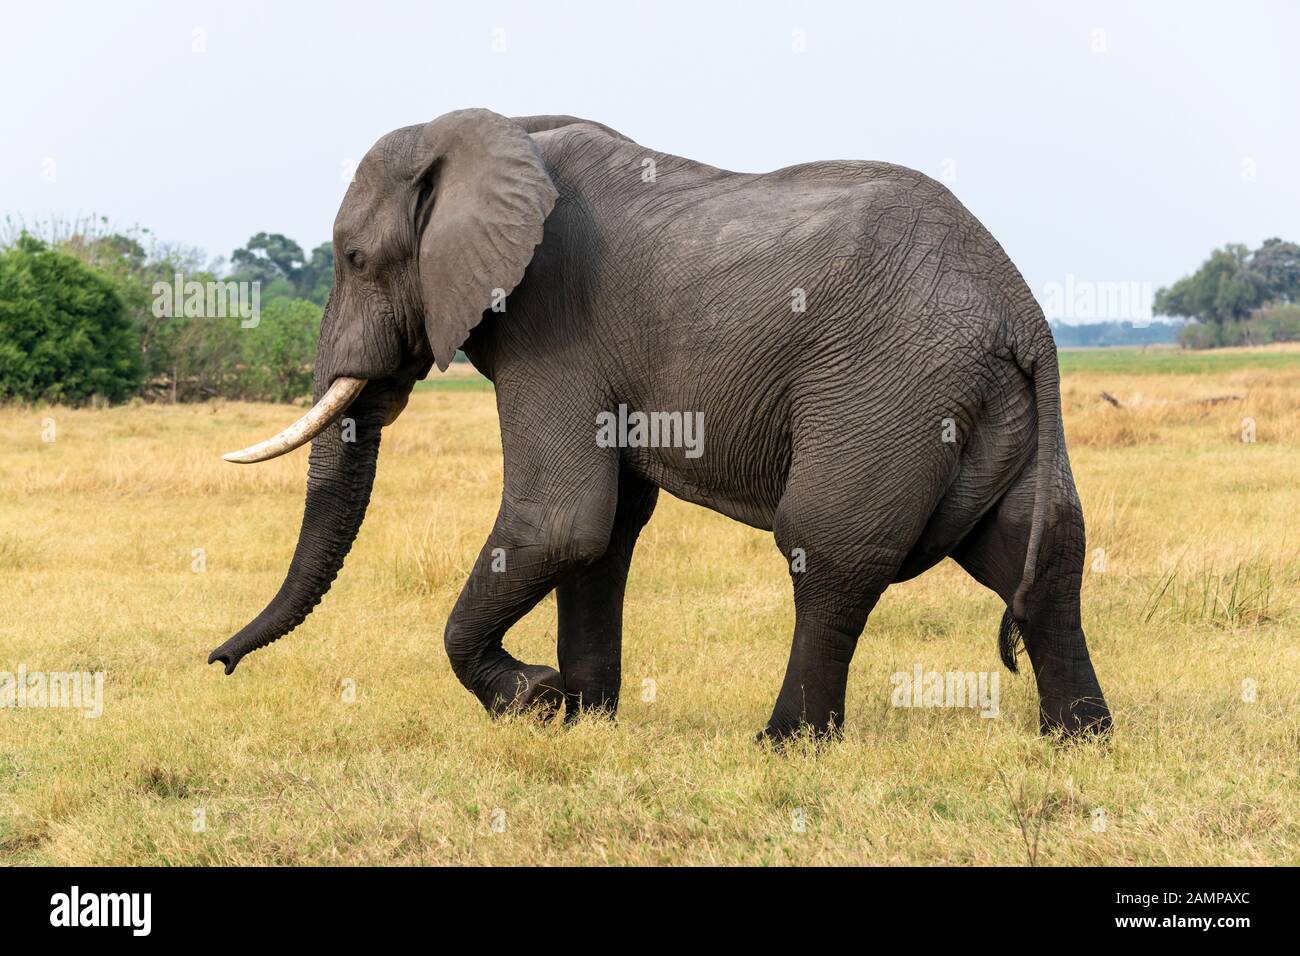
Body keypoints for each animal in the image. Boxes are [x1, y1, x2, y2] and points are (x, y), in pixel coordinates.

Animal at [208, 110, 1112, 738]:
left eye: (356, 260)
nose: (217, 663)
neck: (496, 128)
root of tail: (1021, 310)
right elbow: (603, 534)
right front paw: (581, 717)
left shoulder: (552, 324)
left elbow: (561, 520)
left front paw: (532, 699)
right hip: (991, 405)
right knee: (1032, 548)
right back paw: (1080, 740)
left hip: (888, 386)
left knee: (829, 546)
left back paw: (784, 742)